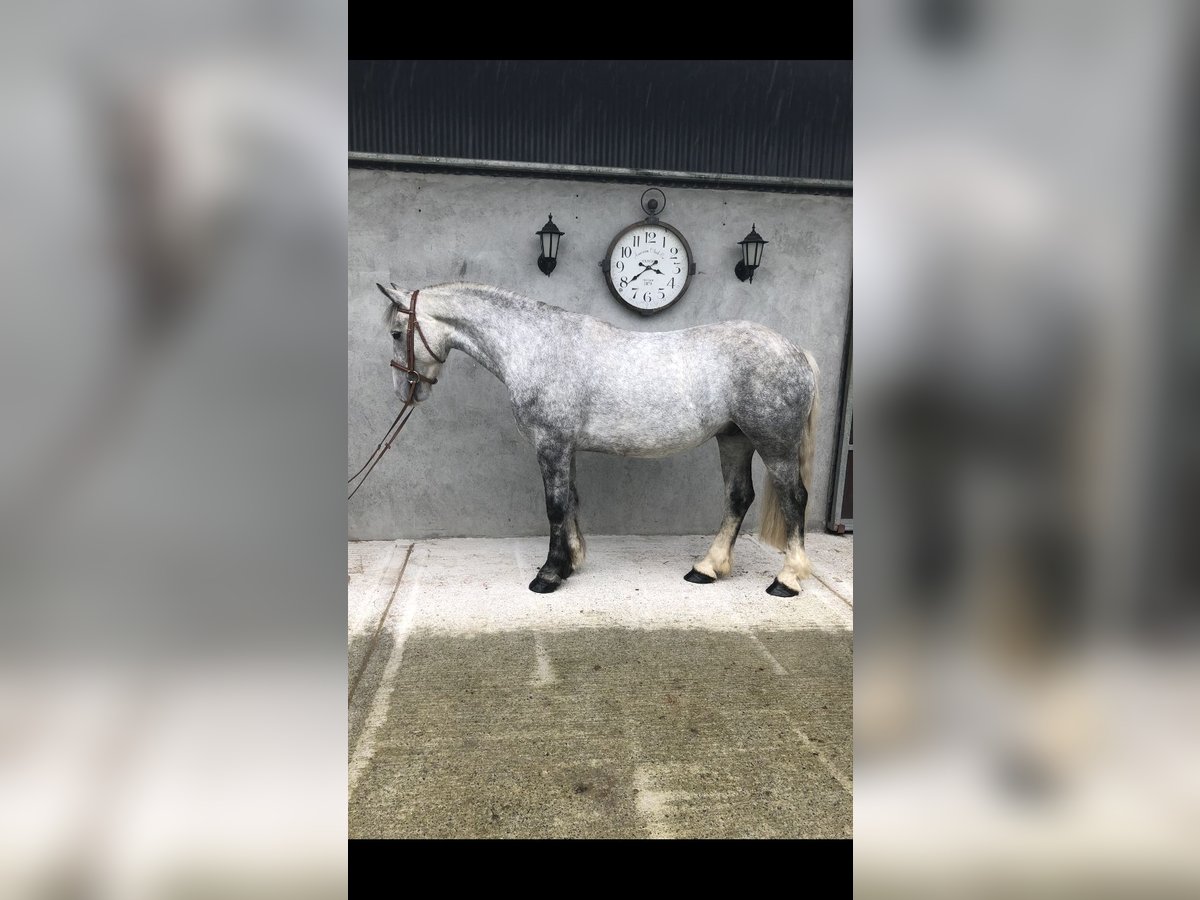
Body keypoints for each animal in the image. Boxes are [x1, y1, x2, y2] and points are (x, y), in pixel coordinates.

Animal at [379, 282, 820, 600]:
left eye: (397, 333)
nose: (405, 391)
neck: (535, 345)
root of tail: (797, 352)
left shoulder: (551, 444)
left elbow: (555, 507)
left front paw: (549, 575)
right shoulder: (565, 448)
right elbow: (572, 501)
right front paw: (570, 564)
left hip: (775, 445)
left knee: (794, 498)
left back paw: (787, 579)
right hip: (733, 439)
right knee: (738, 497)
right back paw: (706, 569)